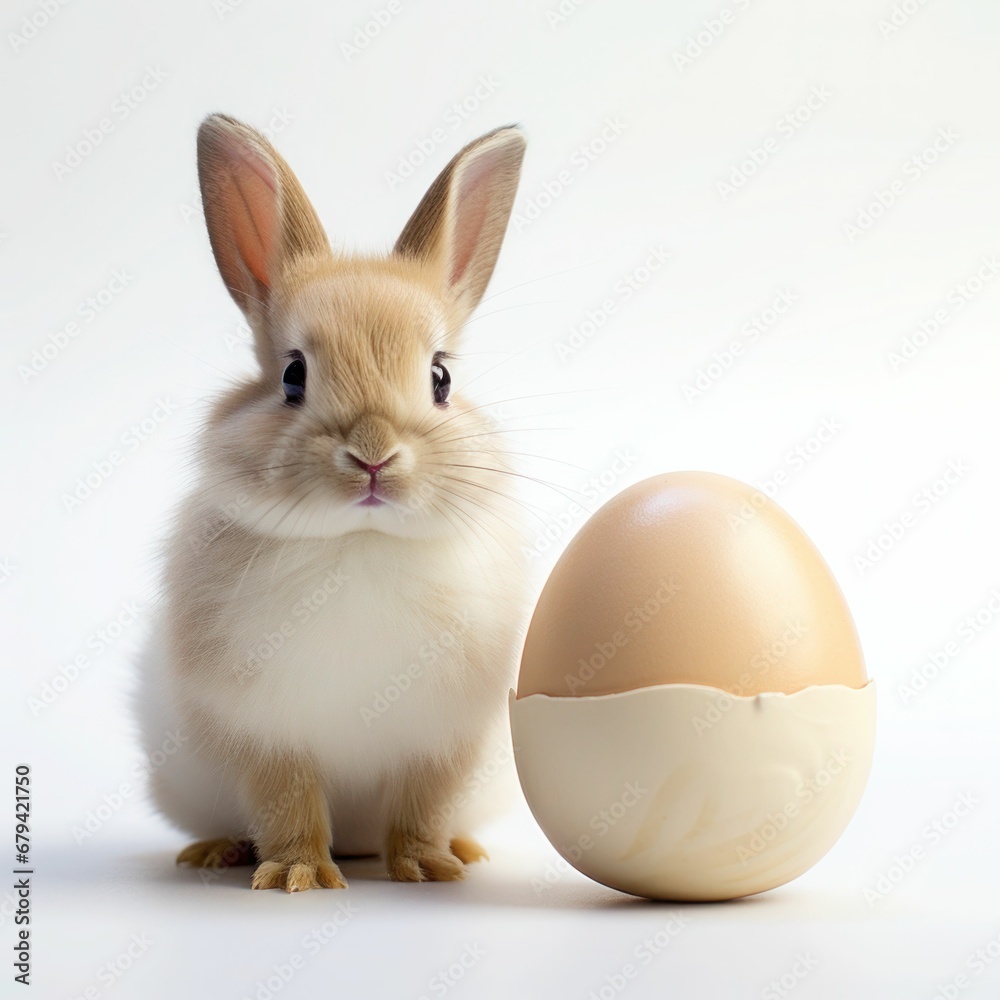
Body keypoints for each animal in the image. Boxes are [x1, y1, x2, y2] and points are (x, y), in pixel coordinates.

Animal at [135, 113, 532, 891]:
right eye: (293, 376)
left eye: (440, 378)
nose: (372, 455)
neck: (359, 541)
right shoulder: (264, 732)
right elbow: (287, 801)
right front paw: (298, 877)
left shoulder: (444, 739)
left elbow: (422, 804)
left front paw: (429, 867)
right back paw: (218, 853)